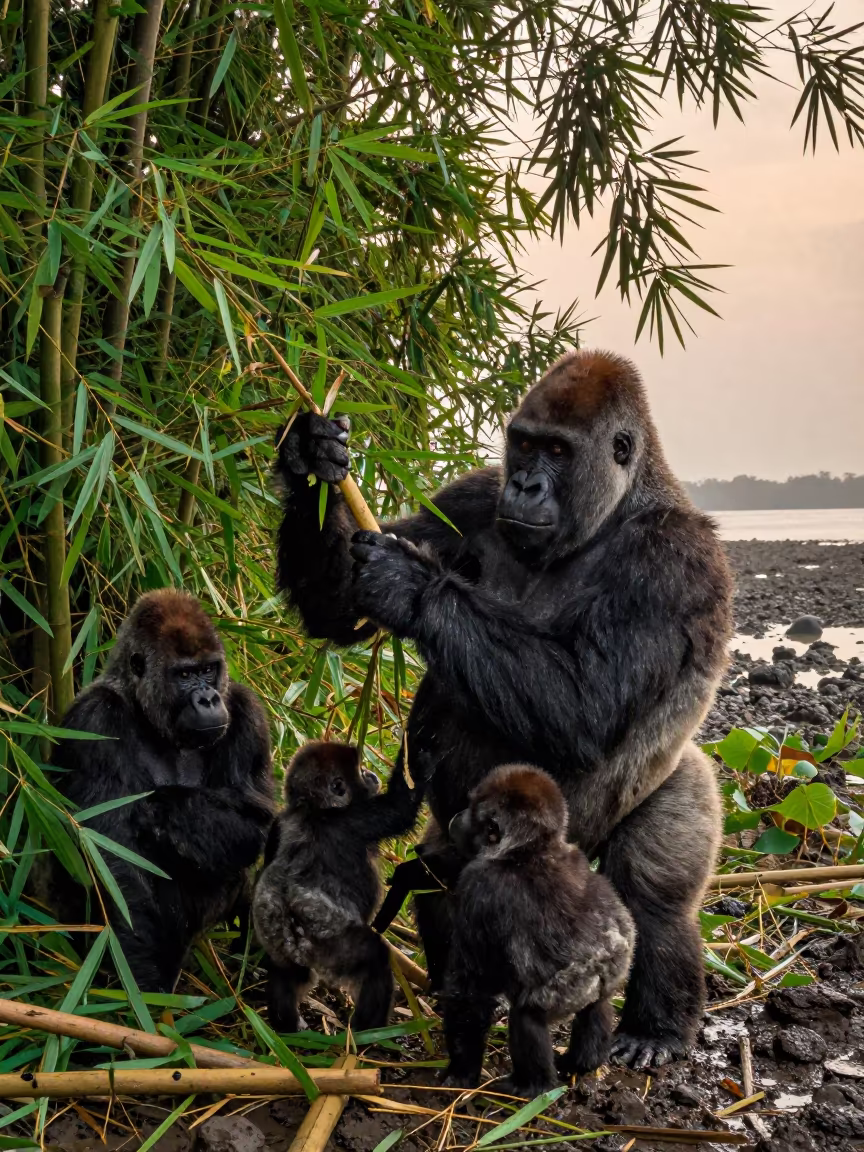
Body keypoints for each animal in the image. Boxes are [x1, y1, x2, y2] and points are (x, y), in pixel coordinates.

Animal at [46, 588, 274, 992]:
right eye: (184, 675)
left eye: (208, 670)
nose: (208, 699)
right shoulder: (94, 719)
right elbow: (114, 862)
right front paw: (143, 987)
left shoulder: (248, 712)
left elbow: (253, 822)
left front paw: (169, 807)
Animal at [253, 741, 421, 1033]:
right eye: (361, 772)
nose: (372, 774)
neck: (314, 808)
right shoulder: (360, 817)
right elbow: (404, 801)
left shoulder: (278, 823)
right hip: (329, 943)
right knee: (374, 959)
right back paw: (370, 1031)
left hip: (280, 943)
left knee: (287, 975)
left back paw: (287, 1026)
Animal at [440, 764, 635, 1095]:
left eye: (473, 811)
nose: (458, 816)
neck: (531, 847)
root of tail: (600, 964)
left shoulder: (477, 889)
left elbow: (468, 990)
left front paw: (460, 1072)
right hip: (612, 970)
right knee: (597, 1005)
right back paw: (583, 1061)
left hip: (567, 988)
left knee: (526, 1017)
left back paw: (534, 1086)